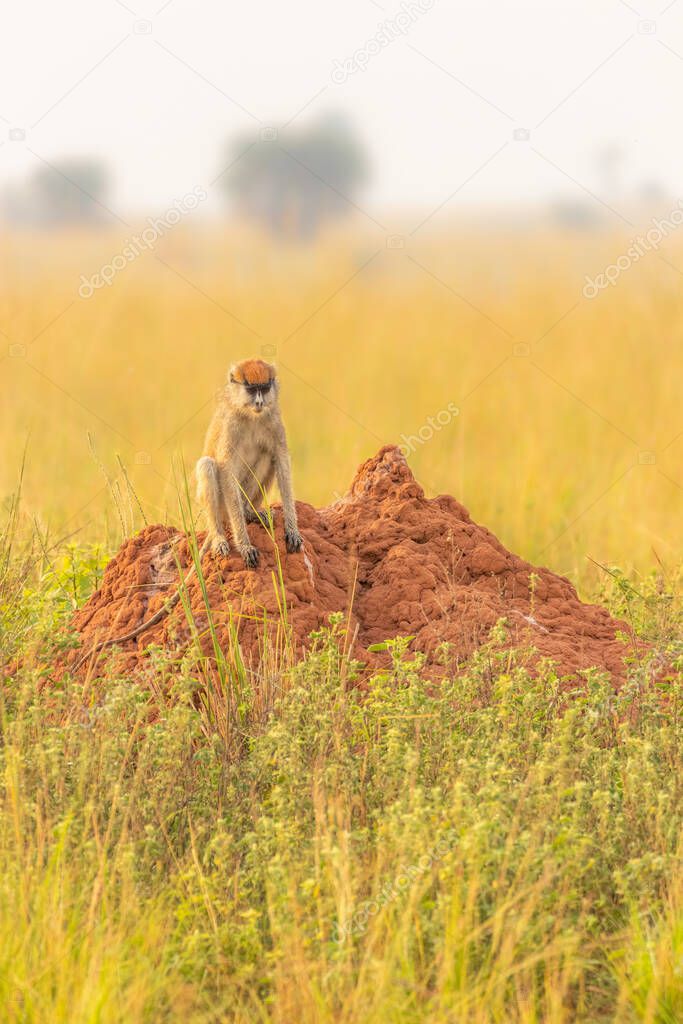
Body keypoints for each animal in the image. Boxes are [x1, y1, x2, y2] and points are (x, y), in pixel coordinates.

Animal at [71, 356, 301, 675]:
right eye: (251, 388)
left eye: (264, 388)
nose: (259, 400)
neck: (248, 413)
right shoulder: (231, 427)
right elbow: (225, 467)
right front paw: (244, 545)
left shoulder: (272, 419)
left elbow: (280, 458)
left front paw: (292, 529)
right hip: (219, 507)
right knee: (209, 466)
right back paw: (222, 534)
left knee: (264, 457)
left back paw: (250, 513)